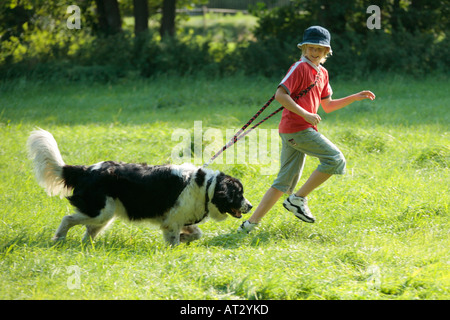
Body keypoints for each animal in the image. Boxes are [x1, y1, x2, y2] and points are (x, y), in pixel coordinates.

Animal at [28, 129, 253, 245]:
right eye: (238, 194)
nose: (250, 206)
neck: (206, 187)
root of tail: (87, 169)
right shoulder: (172, 221)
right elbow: (174, 240)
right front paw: (176, 246)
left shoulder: (179, 218)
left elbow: (196, 233)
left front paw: (185, 238)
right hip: (100, 211)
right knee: (68, 219)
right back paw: (58, 239)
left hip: (104, 215)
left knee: (88, 232)